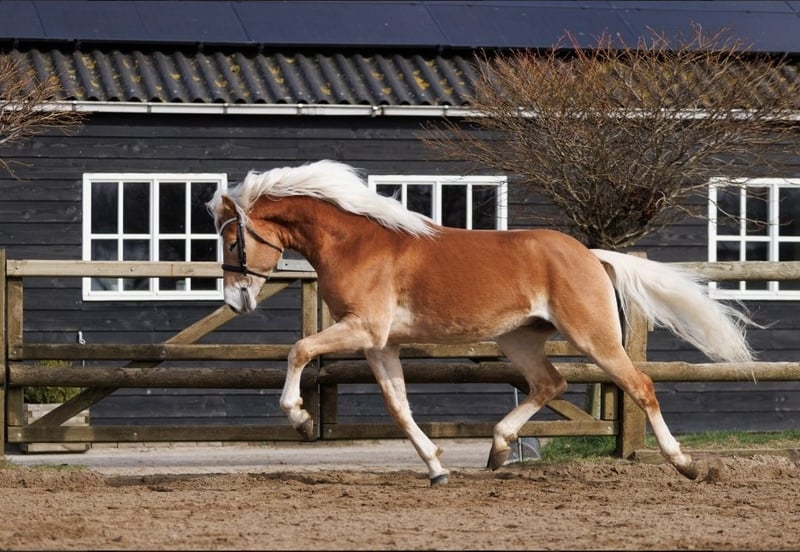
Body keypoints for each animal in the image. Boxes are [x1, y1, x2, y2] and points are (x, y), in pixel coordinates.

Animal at [207, 159, 754, 486]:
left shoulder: (364, 329)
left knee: (640, 385)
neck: (356, 243)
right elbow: (399, 407)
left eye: (232, 240)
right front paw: (436, 469)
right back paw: (497, 449)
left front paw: (299, 418)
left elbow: (299, 349)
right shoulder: (380, 343)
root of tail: (591, 255)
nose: (235, 300)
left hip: (594, 337)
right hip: (518, 339)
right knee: (549, 384)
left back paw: (685, 464)